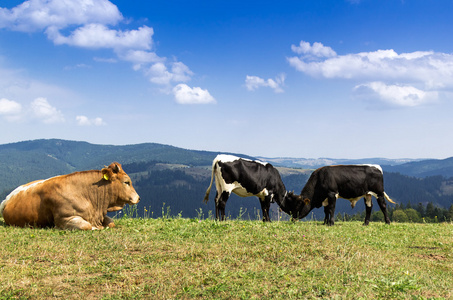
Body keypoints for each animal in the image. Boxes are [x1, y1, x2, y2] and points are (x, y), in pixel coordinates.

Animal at [0, 162, 139, 230]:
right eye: (127, 182)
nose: (138, 198)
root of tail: (7, 198)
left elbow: (111, 223)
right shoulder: (64, 219)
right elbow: (87, 226)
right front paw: (95, 228)